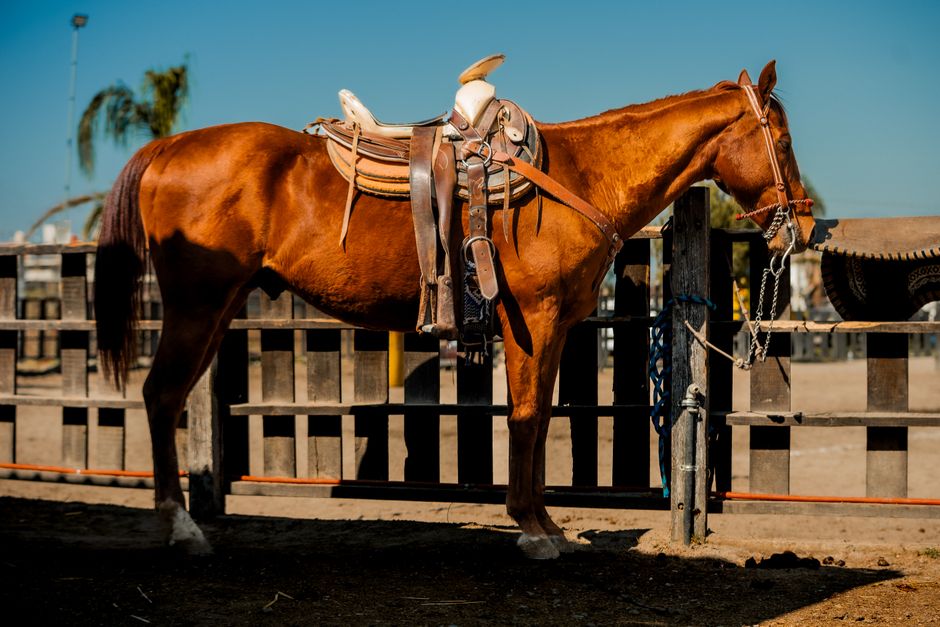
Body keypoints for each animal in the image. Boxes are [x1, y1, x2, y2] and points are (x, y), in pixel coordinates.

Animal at [94, 60, 816, 559]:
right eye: (781, 139)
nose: (803, 224)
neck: (578, 175)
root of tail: (167, 147)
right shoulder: (535, 321)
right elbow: (527, 419)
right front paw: (533, 530)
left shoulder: (552, 330)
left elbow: (538, 418)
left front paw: (546, 523)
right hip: (196, 305)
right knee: (161, 395)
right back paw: (182, 527)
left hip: (217, 308)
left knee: (169, 396)